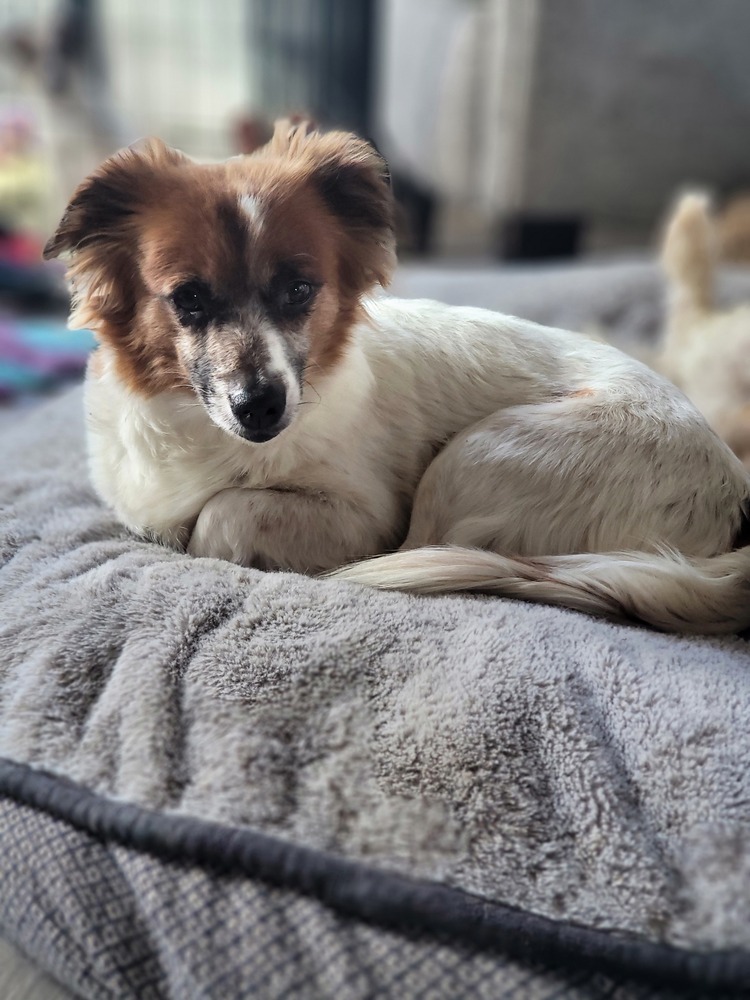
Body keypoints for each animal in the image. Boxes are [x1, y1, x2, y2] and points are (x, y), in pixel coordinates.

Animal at [44, 119, 750, 632]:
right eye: (188, 298)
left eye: (300, 290)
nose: (261, 406)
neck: (200, 434)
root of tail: (733, 486)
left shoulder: (365, 515)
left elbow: (222, 518)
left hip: (474, 461)